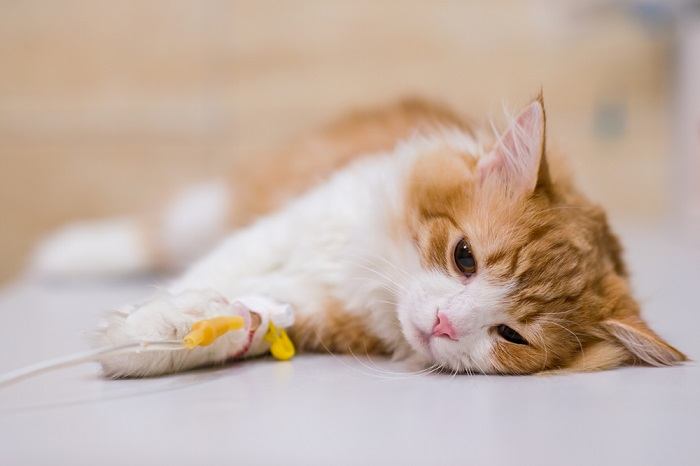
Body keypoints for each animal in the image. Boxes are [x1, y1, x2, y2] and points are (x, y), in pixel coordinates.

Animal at [31, 93, 684, 374]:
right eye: (464, 258)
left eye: (511, 335)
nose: (444, 323)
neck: (371, 277)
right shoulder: (291, 224)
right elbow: (209, 274)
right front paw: (150, 325)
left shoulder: (317, 310)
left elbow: (250, 313)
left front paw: (179, 333)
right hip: (217, 205)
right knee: (154, 235)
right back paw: (64, 254)